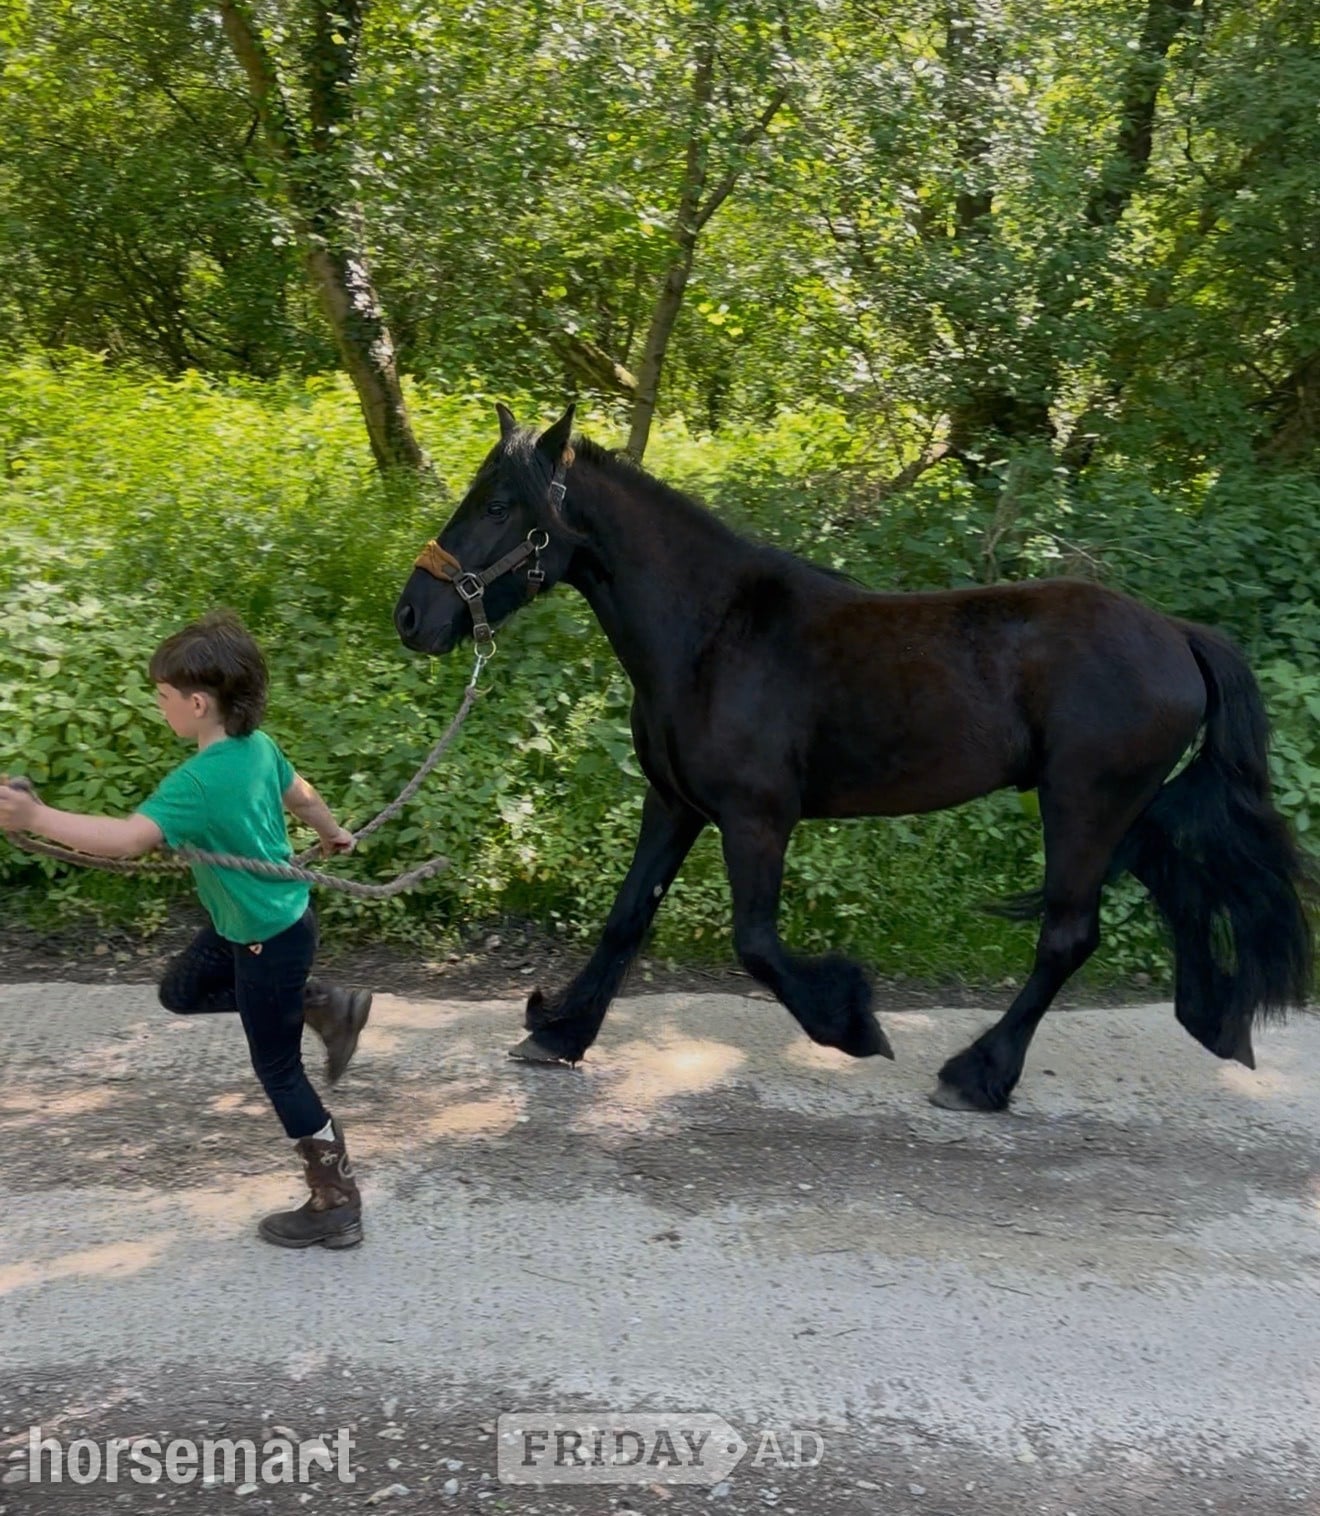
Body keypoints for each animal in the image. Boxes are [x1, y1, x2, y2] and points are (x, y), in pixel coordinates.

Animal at [393, 403, 1314, 1111]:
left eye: (501, 506)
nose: (412, 615)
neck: (713, 634)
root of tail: (1178, 635)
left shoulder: (756, 817)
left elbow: (756, 943)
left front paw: (852, 1022)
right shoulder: (676, 804)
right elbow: (627, 918)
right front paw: (558, 1032)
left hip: (1084, 804)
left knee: (1068, 937)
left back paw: (978, 1075)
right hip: (1129, 808)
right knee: (1180, 890)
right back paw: (1217, 1023)